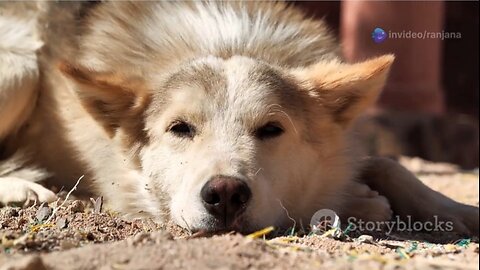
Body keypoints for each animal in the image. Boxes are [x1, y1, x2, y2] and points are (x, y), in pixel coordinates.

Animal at [0, 1, 478, 234]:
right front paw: (360, 201)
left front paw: (453, 207)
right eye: (180, 129)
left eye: (271, 129)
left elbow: (387, 164)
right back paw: (25, 187)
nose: (226, 195)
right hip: (21, 67)